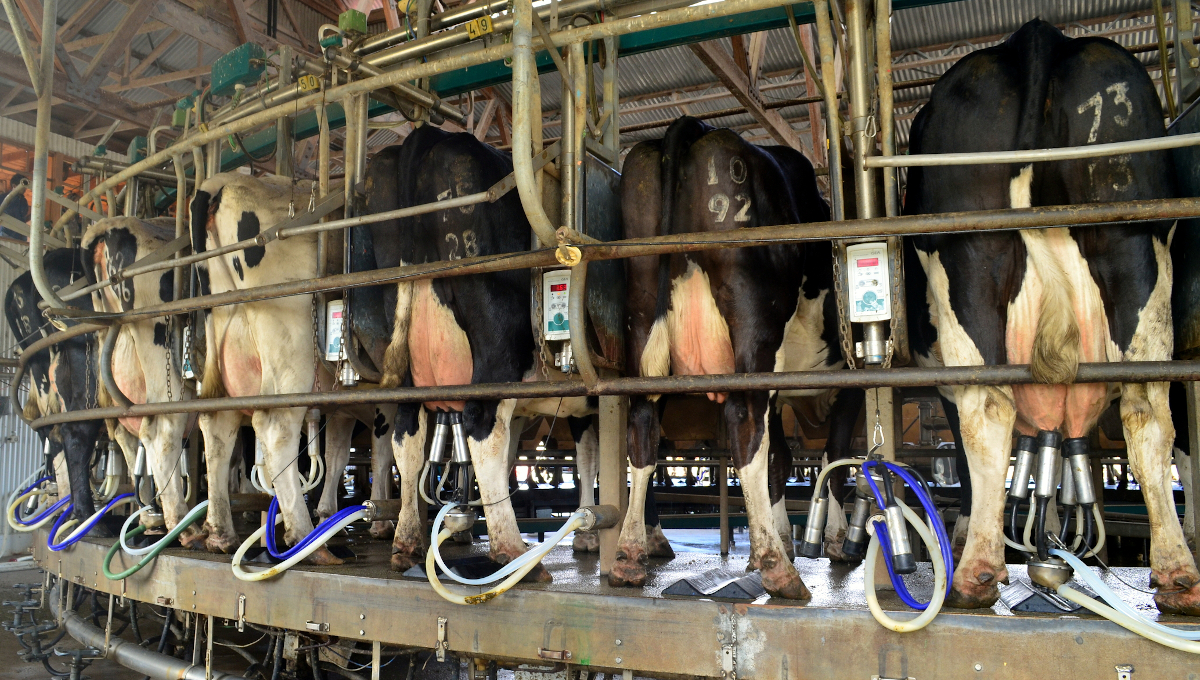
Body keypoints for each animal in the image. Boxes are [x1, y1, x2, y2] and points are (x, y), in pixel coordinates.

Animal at [614, 118, 849, 602]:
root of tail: (699, 127)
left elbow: (782, 459)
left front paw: (779, 540)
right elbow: (833, 460)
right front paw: (829, 543)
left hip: (642, 314)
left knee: (642, 428)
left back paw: (628, 558)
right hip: (755, 320)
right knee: (744, 423)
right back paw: (780, 573)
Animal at [902, 19, 1195, 618]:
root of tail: (1037, 36)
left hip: (972, 257)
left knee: (988, 411)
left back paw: (976, 571)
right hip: (1130, 243)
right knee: (1147, 409)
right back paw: (1177, 574)